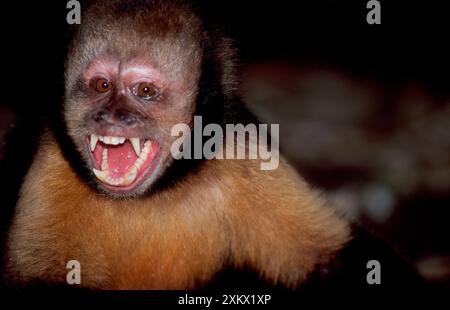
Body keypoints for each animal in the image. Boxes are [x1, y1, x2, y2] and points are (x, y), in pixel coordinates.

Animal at [2, 0, 426, 292]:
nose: (111, 116)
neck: (151, 194)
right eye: (101, 85)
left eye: (144, 91)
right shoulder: (50, 161)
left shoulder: (241, 146)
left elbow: (332, 258)